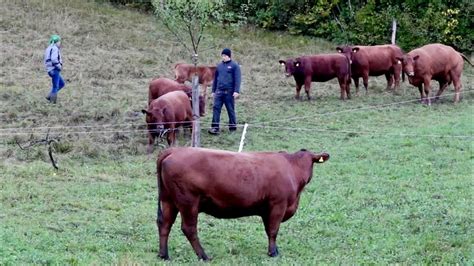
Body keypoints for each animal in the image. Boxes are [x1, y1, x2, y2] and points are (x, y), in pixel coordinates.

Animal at [156, 147, 330, 260]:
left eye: (310, 162)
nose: (306, 177)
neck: (291, 167)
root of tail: (175, 150)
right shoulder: (278, 205)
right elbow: (273, 230)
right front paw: (273, 253)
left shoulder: (267, 209)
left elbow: (268, 230)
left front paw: (274, 250)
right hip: (189, 202)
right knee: (189, 229)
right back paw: (204, 256)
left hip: (169, 201)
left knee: (164, 224)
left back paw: (164, 255)